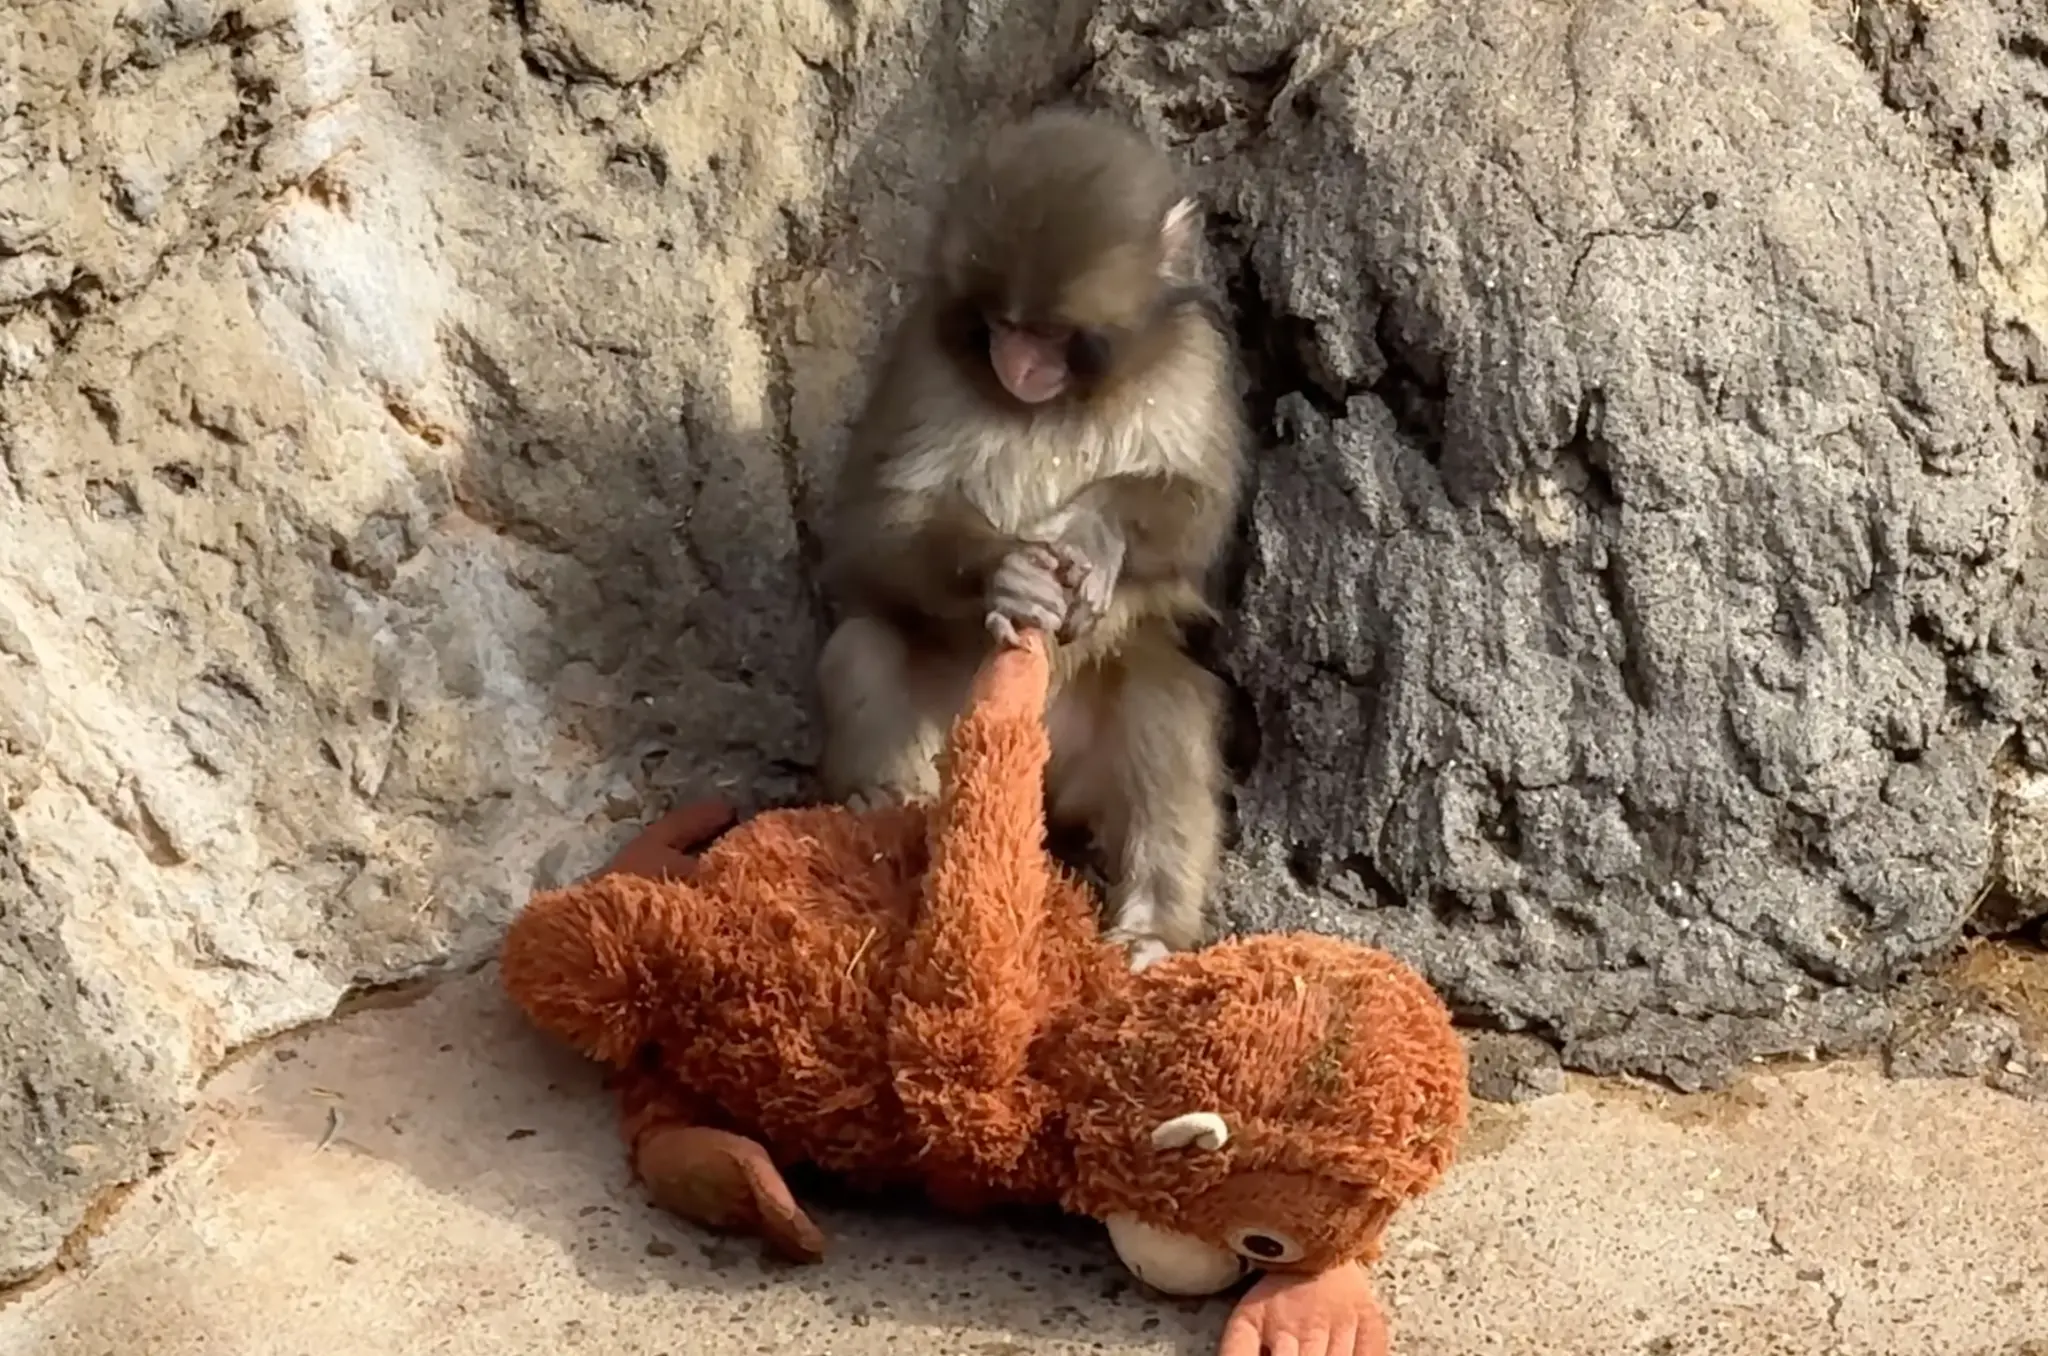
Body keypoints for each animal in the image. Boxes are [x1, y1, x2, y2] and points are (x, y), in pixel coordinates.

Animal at [813, 106, 1248, 971]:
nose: (1015, 362)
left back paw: (1151, 929)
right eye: (1000, 325)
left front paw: (1094, 528)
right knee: (865, 646)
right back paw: (887, 809)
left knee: (1162, 694)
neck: (1065, 399)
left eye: (1050, 332)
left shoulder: (1196, 361)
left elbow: (1201, 515)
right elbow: (872, 530)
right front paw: (1006, 573)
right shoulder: (923, 355)